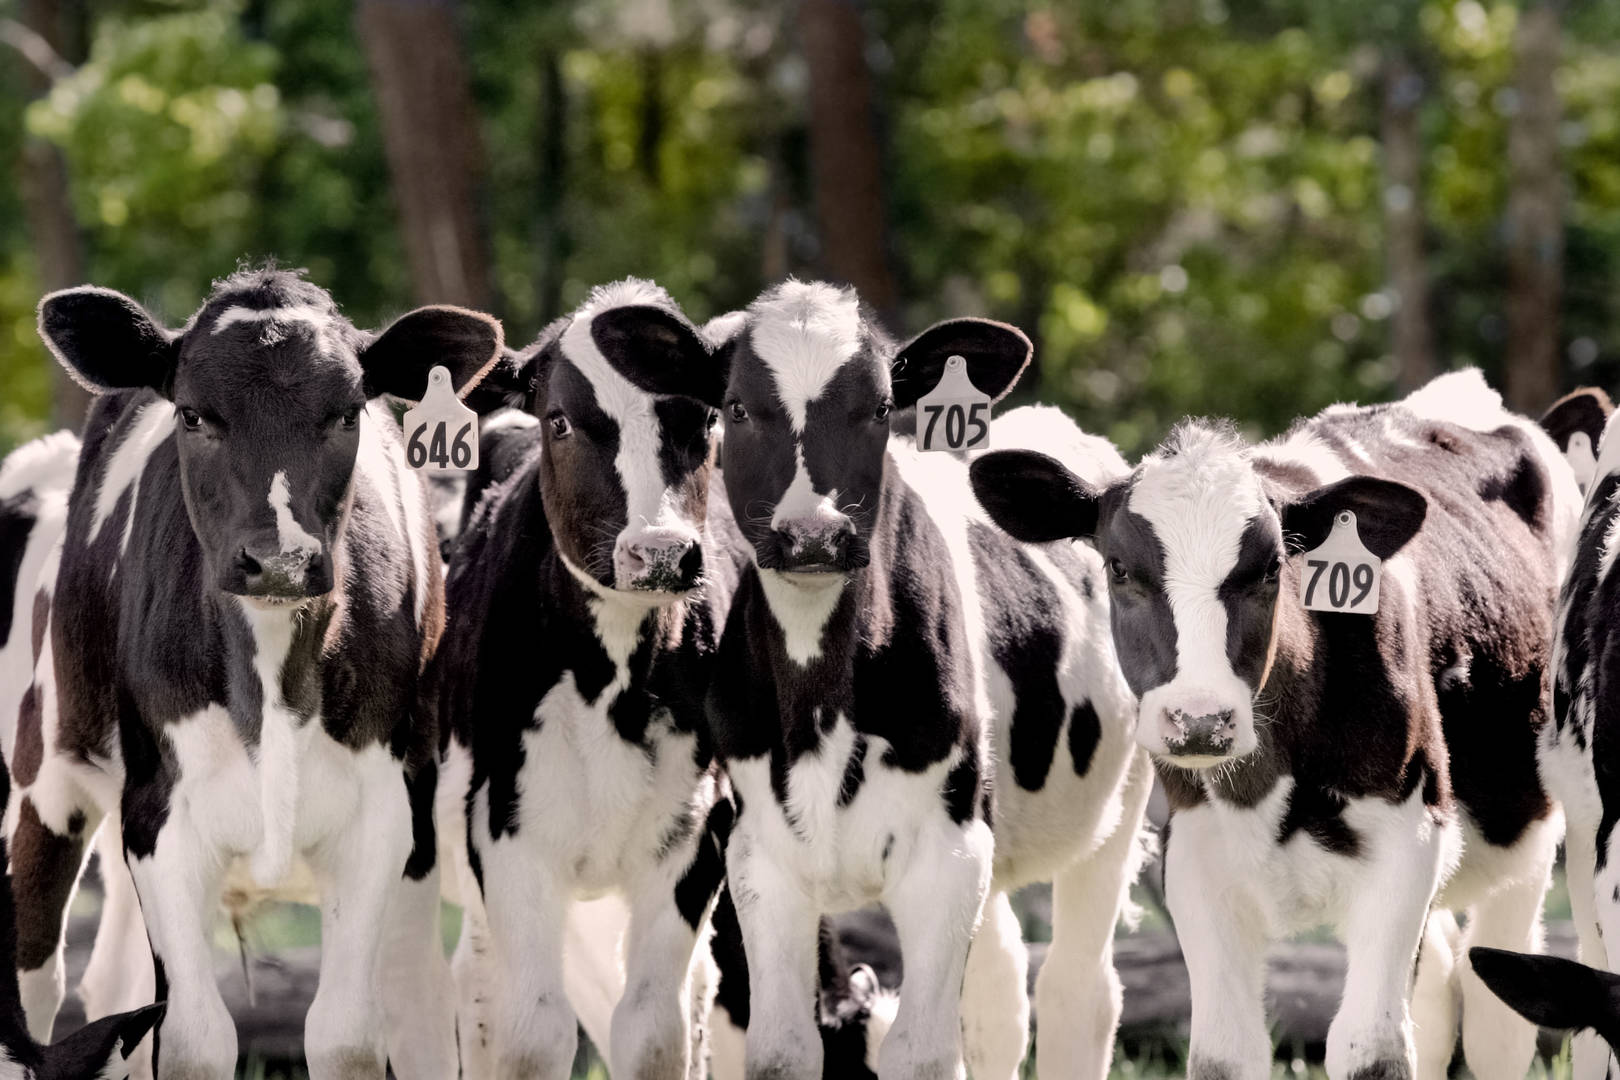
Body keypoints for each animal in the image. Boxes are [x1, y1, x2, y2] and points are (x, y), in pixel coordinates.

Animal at [20, 267, 503, 1079]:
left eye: (348, 412)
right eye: (191, 414)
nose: (279, 559)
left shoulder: (381, 820)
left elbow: (346, 1035)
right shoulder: (160, 820)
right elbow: (194, 1039)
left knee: (418, 1002)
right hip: (45, 781)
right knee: (38, 985)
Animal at [433, 280, 739, 1080]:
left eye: (706, 416)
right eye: (562, 420)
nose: (659, 552)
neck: (613, 683)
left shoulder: (694, 836)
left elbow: (654, 1029)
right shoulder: (506, 830)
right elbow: (534, 1032)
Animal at [599, 279, 1151, 1080]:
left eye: (883, 406)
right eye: (735, 407)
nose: (814, 535)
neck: (821, 705)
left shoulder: (948, 855)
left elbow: (921, 1055)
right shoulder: (762, 860)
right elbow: (782, 1051)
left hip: (1117, 805)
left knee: (1079, 990)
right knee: (1001, 988)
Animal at [970, 369, 1579, 1080]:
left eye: (1270, 569)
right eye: (1118, 568)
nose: (1200, 721)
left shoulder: (1410, 841)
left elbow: (1370, 1049)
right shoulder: (1196, 855)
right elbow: (1225, 1052)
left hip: (1531, 831)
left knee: (1496, 1016)